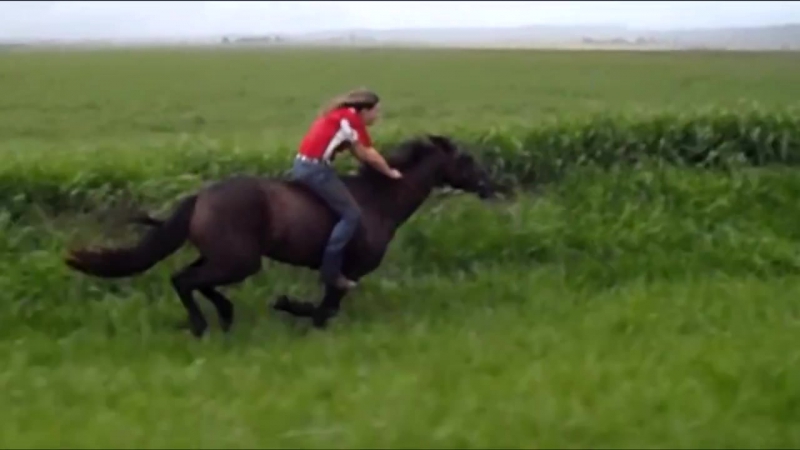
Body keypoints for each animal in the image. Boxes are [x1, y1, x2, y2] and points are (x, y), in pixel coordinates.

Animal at [64, 134, 499, 338]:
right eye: (465, 158)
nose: (491, 185)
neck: (379, 201)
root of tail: (201, 197)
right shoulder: (347, 269)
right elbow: (325, 308)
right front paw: (288, 305)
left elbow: (326, 309)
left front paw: (288, 306)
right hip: (239, 260)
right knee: (185, 280)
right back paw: (205, 324)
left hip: (227, 257)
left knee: (189, 279)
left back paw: (223, 315)